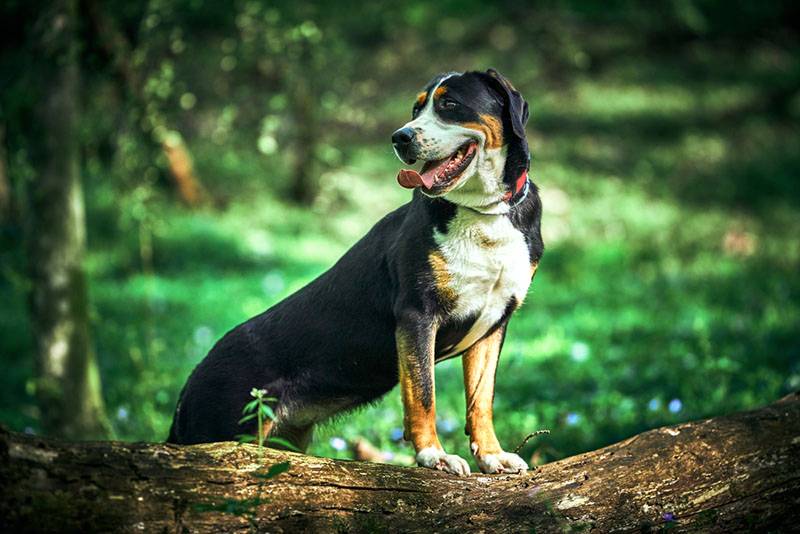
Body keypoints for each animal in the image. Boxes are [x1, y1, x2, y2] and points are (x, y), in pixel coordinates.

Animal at [168, 68, 544, 478]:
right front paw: (434, 456)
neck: (484, 214)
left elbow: (481, 399)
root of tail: (191, 382)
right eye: (416, 109)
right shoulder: (417, 314)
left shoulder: (492, 325)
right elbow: (422, 394)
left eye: (449, 104)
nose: (400, 137)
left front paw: (492, 456)